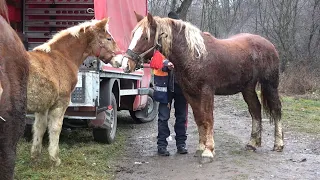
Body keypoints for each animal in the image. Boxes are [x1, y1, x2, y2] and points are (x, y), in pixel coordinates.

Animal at [26, 17, 119, 165]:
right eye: (108, 38)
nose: (120, 60)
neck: (62, 57)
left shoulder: (43, 106)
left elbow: (39, 128)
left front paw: (35, 156)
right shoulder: (60, 104)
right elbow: (55, 128)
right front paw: (55, 158)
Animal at [124, 13, 284, 164]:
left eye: (145, 37)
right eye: (133, 35)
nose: (126, 64)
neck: (195, 55)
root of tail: (269, 44)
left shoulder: (207, 92)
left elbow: (208, 119)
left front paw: (208, 151)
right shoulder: (190, 94)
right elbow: (199, 119)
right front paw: (200, 148)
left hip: (270, 85)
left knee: (276, 109)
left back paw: (278, 144)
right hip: (247, 88)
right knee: (255, 110)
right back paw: (252, 143)